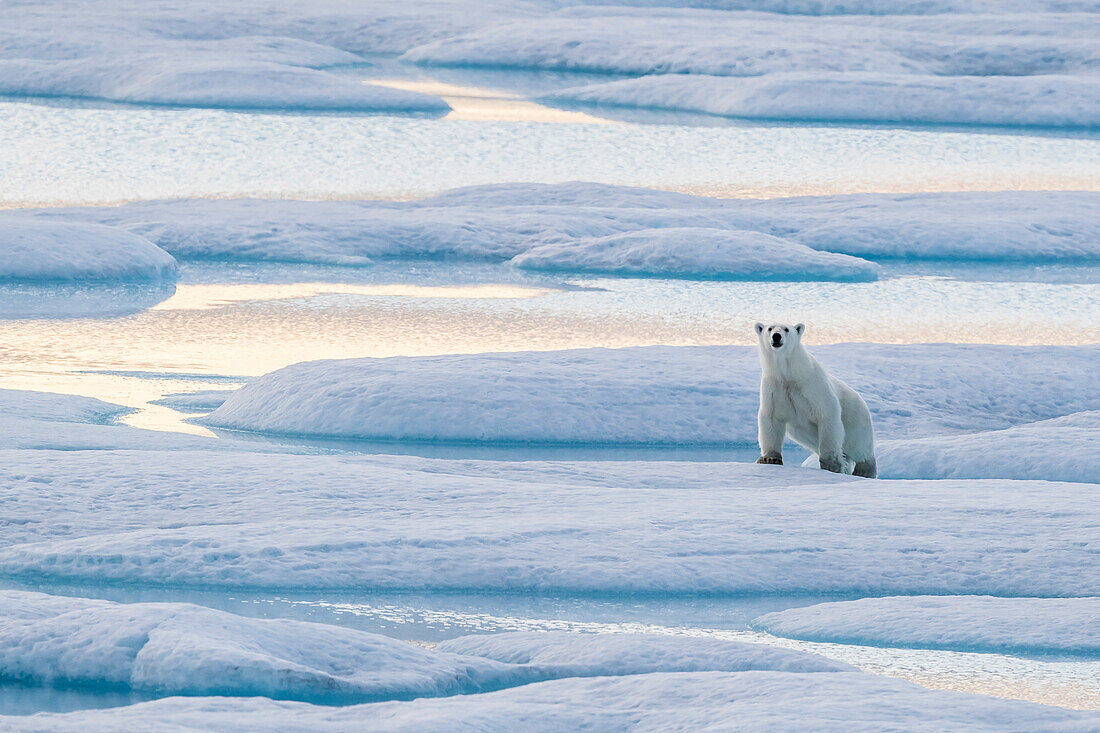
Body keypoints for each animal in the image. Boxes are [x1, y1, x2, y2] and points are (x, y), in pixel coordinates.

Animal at [748, 323, 875, 477]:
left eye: (786, 329)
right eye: (770, 328)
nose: (776, 336)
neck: (789, 374)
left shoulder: (812, 386)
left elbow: (827, 415)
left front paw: (831, 464)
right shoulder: (774, 388)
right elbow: (771, 418)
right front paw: (770, 459)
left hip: (855, 418)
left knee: (859, 447)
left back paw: (863, 471)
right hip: (805, 434)